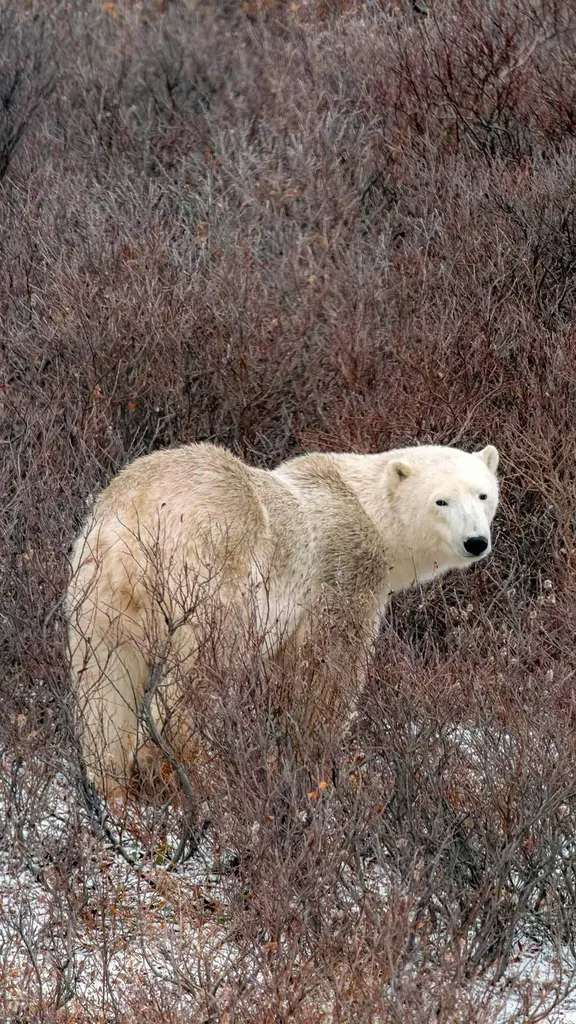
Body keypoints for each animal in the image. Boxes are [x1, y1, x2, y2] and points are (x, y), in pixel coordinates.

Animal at [66, 441, 500, 799]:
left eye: (483, 494)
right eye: (441, 501)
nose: (476, 541)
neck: (365, 510)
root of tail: (135, 522)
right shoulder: (343, 572)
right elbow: (331, 669)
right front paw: (322, 757)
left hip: (99, 594)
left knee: (104, 690)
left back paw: (116, 790)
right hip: (208, 576)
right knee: (197, 674)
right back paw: (204, 771)